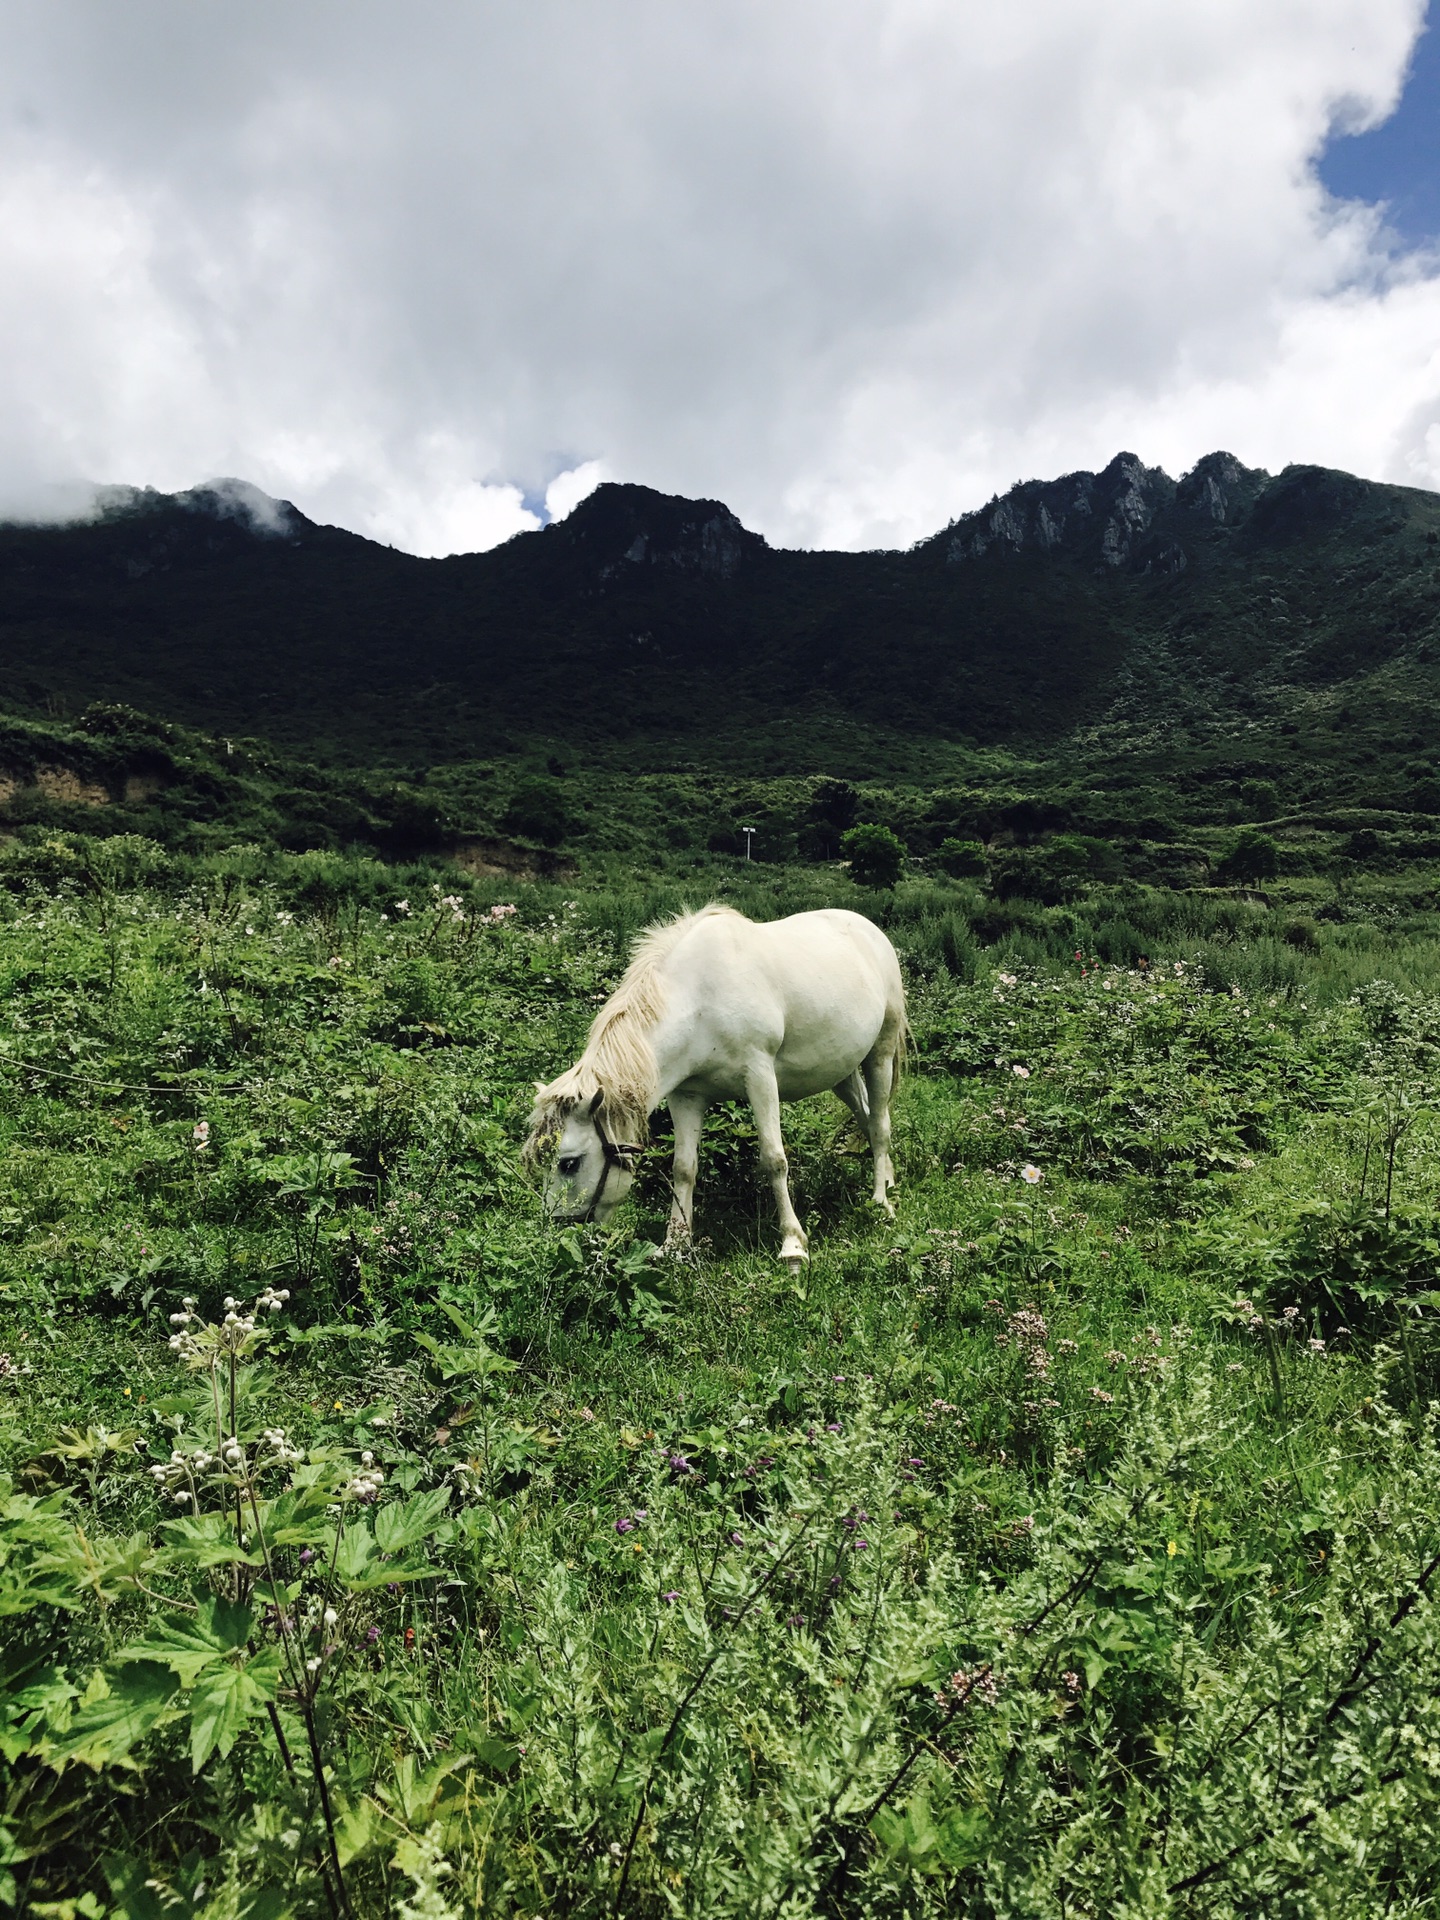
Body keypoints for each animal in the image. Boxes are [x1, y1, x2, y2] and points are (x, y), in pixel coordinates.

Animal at [526, 906, 906, 1267]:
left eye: (568, 1163)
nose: (559, 1231)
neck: (698, 1001)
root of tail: (870, 931)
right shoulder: (686, 1095)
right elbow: (683, 1168)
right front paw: (674, 1245)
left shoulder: (760, 1076)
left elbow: (774, 1159)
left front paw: (793, 1245)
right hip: (841, 1072)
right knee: (867, 1117)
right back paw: (887, 1179)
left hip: (880, 1053)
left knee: (880, 1125)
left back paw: (881, 1202)